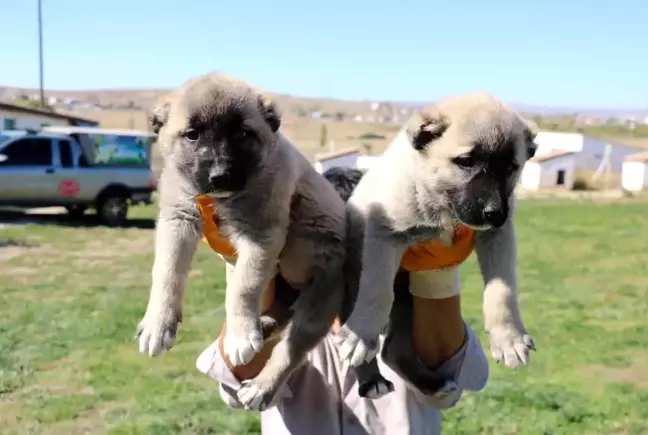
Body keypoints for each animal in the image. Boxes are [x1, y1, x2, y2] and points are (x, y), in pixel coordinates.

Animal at [135, 73, 364, 410]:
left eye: (243, 133)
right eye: (192, 135)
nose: (219, 176)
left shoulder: (261, 235)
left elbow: (243, 286)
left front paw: (241, 334)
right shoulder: (176, 219)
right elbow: (167, 272)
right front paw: (157, 324)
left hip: (320, 301)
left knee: (290, 351)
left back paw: (261, 386)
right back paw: (263, 325)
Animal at [334, 93, 536, 376]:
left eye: (512, 167)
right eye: (465, 161)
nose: (494, 213)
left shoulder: (499, 237)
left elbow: (502, 290)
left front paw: (509, 337)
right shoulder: (384, 232)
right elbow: (377, 289)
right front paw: (360, 335)